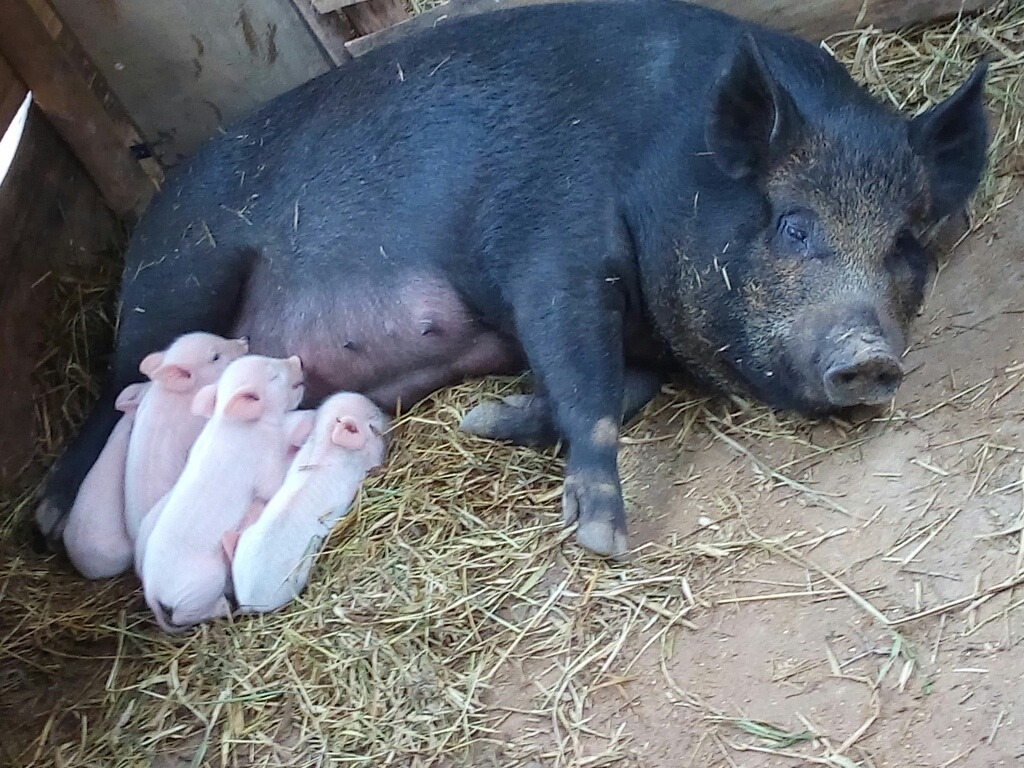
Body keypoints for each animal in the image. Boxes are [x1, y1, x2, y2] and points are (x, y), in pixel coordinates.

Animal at [36, 0, 987, 557]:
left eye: (908, 245)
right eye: (794, 223)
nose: (871, 356)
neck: (663, 158)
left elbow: (624, 383)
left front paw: (486, 419)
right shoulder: (546, 238)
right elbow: (586, 373)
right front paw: (599, 536)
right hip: (178, 273)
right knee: (118, 387)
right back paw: (45, 520)